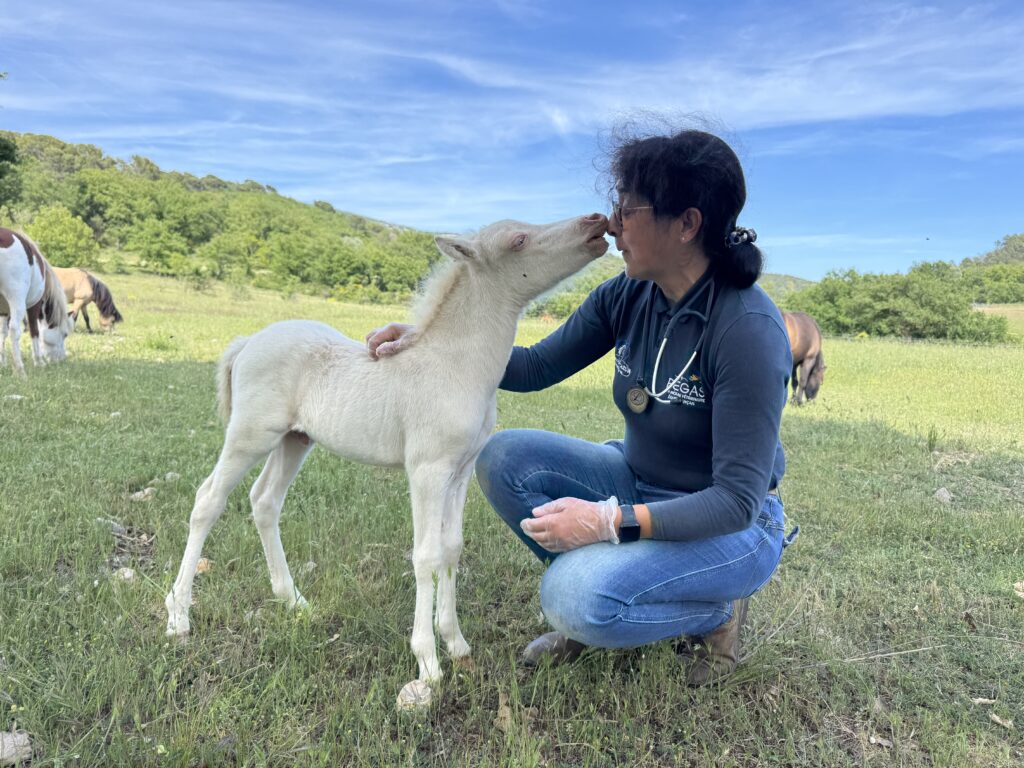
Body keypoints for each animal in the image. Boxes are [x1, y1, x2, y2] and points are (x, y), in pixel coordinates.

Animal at [0, 228, 74, 376]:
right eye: (64, 334)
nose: (62, 359)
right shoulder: (34, 305)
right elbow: (35, 331)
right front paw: (39, 362)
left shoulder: (4, 310)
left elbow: (2, 333)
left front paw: (2, 363)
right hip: (17, 300)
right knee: (15, 329)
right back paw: (20, 370)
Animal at [164, 214, 609, 709]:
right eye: (518, 239)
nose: (595, 223)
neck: (456, 367)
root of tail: (246, 342)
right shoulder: (427, 470)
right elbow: (426, 555)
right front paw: (429, 664)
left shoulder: (459, 471)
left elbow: (452, 547)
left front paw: (456, 643)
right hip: (250, 434)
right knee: (208, 500)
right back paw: (178, 617)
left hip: (295, 439)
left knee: (264, 501)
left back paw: (293, 601)